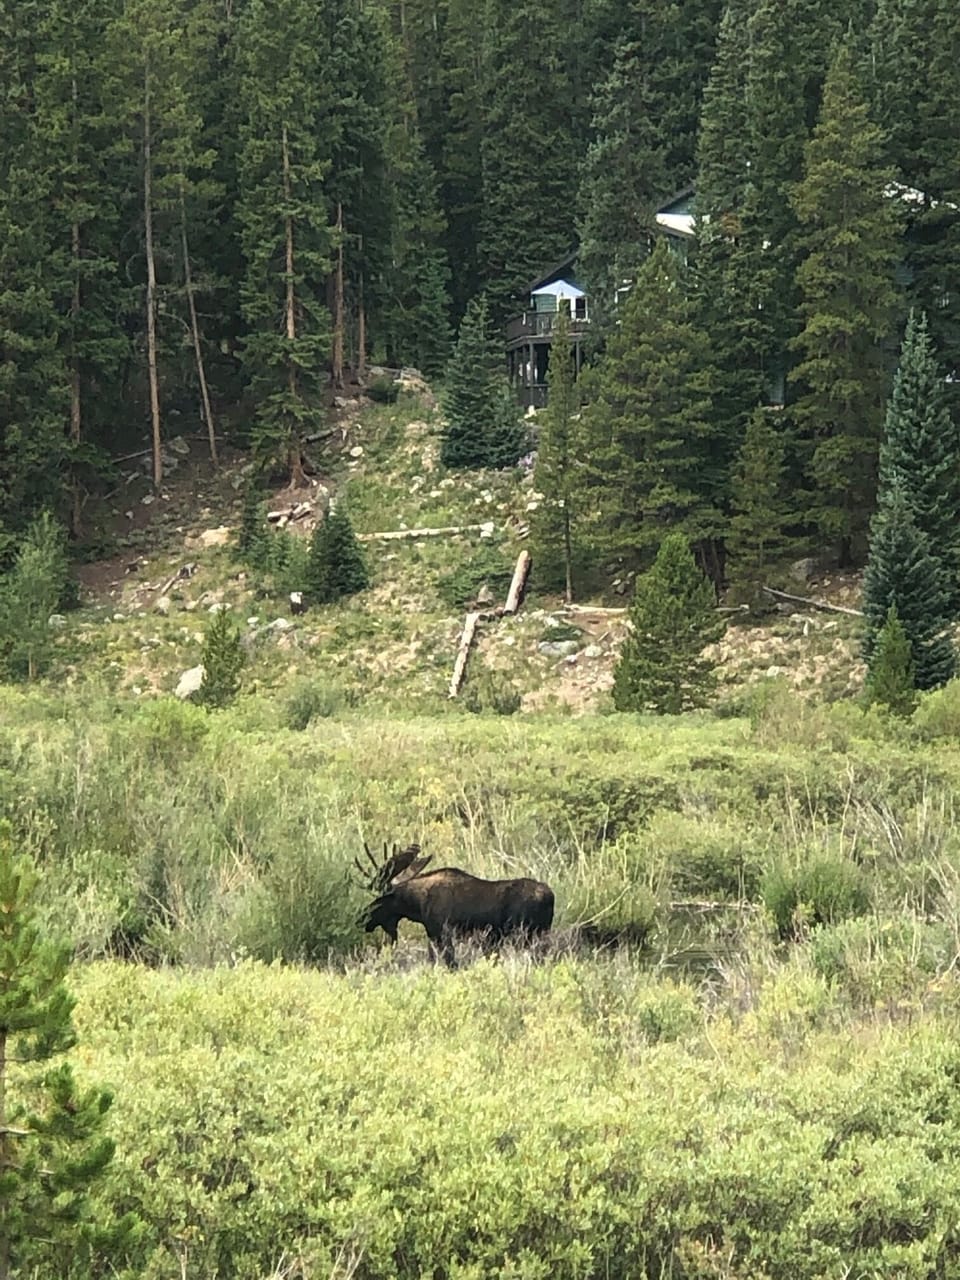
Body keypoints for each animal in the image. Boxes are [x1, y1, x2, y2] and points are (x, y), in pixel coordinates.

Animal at [353, 839, 555, 967]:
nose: (362, 918)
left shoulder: (441, 932)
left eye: (380, 900)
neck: (417, 905)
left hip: (526, 935)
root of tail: (550, 896)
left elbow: (451, 963)